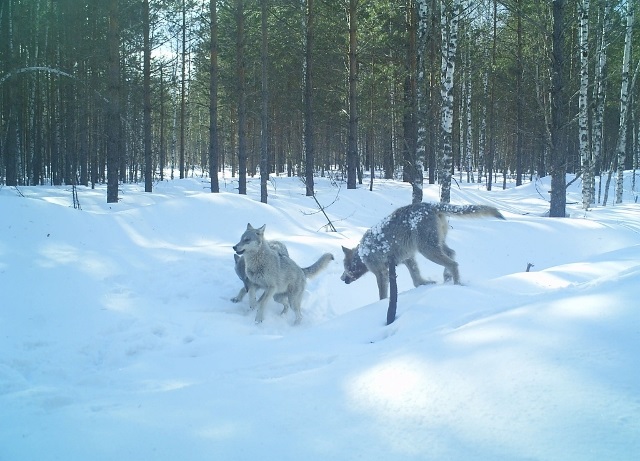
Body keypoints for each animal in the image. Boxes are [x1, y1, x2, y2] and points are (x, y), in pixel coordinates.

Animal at [342, 202, 502, 298]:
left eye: (345, 267)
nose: (342, 279)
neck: (362, 253)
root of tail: (430, 204)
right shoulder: (408, 259)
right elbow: (416, 280)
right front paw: (426, 283)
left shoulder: (381, 272)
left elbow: (383, 295)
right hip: (436, 245)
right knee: (452, 254)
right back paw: (447, 278)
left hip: (428, 250)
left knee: (453, 263)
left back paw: (457, 285)